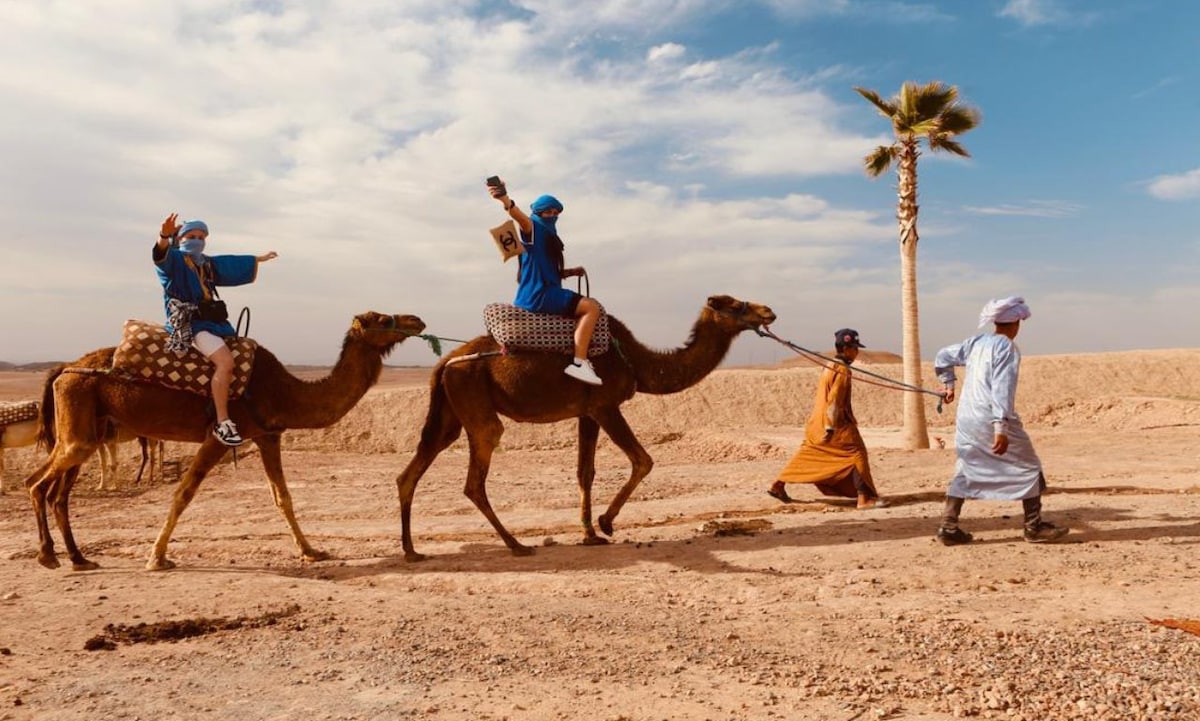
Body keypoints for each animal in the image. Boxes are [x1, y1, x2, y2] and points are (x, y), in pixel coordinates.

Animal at [26, 311, 425, 571]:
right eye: (382, 319)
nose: (416, 320)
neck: (285, 392)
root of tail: (63, 370)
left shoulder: (267, 436)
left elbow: (283, 497)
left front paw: (312, 551)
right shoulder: (218, 437)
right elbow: (183, 493)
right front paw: (157, 557)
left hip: (87, 427)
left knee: (56, 491)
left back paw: (77, 558)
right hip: (79, 420)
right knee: (36, 483)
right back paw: (48, 556)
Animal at [395, 294, 776, 560]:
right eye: (735, 304)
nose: (768, 311)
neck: (637, 361)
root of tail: (444, 362)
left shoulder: (586, 412)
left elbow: (585, 472)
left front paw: (589, 533)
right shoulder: (605, 405)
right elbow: (643, 460)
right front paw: (607, 523)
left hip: (449, 412)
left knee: (412, 471)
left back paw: (412, 551)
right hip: (474, 402)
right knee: (475, 477)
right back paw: (516, 544)